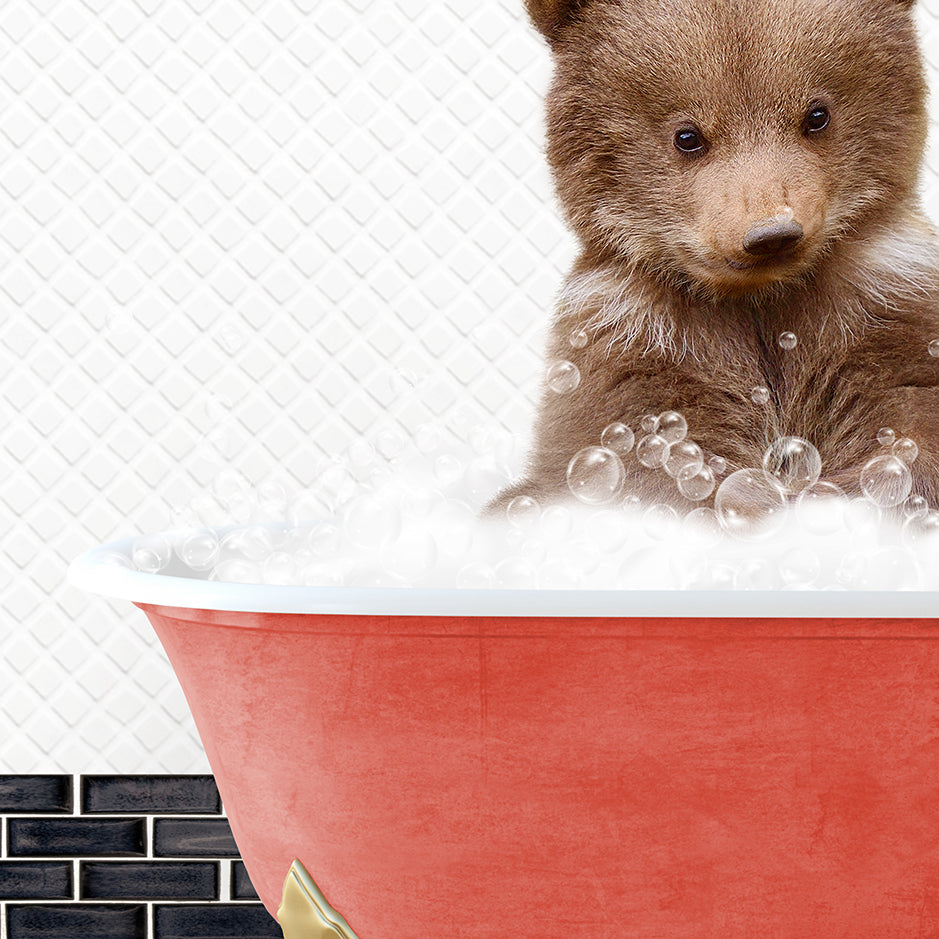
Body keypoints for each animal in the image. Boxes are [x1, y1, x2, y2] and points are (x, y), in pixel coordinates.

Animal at [492, 0, 939, 516]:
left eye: (817, 114)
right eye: (687, 136)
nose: (771, 234)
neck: (759, 299)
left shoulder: (883, 305)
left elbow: (906, 417)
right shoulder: (638, 343)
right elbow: (655, 458)